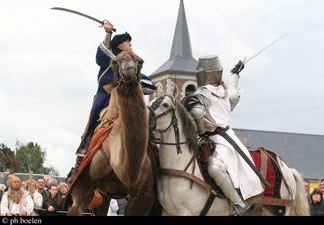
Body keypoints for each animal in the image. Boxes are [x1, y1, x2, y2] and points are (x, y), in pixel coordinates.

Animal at [148, 93, 310, 216]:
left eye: (165, 105)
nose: (147, 121)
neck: (180, 164)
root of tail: (285, 167)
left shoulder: (185, 213)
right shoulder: (167, 212)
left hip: (278, 209)